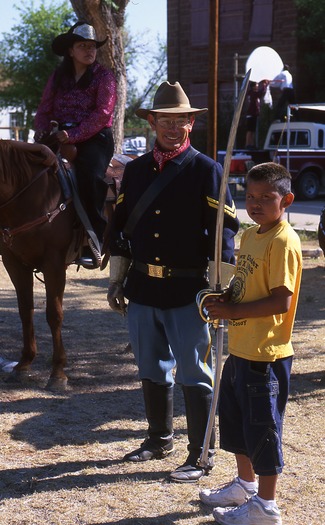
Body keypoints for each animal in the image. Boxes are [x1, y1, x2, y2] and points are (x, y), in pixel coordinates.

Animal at [0, 140, 128, 388]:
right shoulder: (14, 263)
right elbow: (25, 311)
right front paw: (24, 364)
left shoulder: (55, 264)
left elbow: (54, 314)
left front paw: (58, 372)